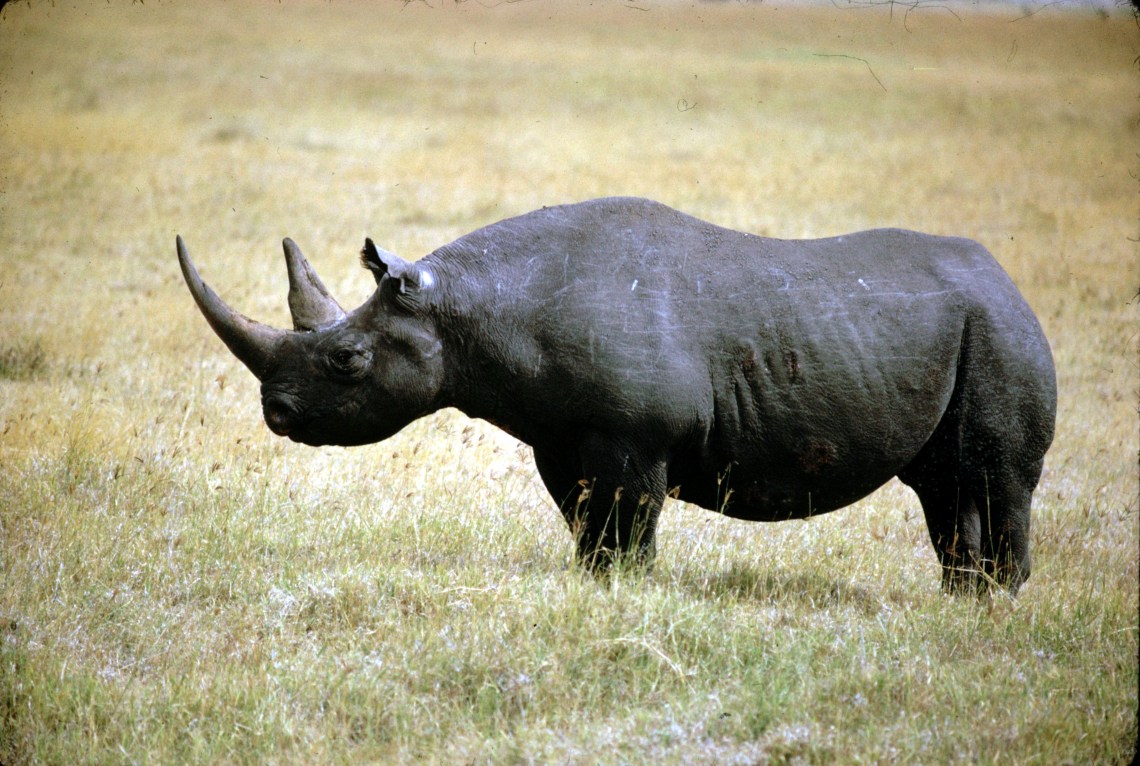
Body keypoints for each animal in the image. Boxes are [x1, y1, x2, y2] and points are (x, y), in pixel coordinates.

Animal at [177, 196, 1056, 593]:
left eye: (348, 361)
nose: (277, 415)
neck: (468, 312)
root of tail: (1009, 278)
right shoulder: (562, 435)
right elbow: (589, 527)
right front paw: (595, 586)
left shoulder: (636, 437)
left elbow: (630, 524)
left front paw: (629, 590)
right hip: (965, 324)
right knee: (944, 484)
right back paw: (960, 601)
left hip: (1000, 327)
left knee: (997, 477)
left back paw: (996, 606)